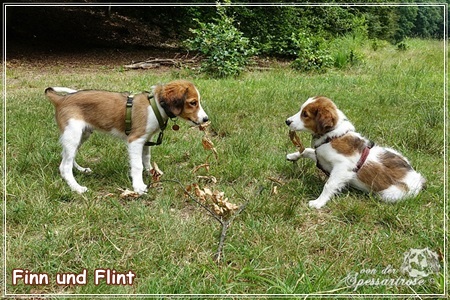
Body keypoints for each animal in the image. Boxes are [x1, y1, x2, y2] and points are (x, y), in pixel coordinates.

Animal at [44, 79, 208, 193]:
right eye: (193, 102)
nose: (206, 119)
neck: (155, 106)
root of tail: (61, 99)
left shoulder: (146, 140)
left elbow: (146, 158)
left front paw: (151, 173)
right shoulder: (135, 140)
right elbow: (137, 164)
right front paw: (139, 186)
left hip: (82, 134)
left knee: (66, 157)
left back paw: (81, 170)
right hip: (73, 134)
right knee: (64, 166)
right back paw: (76, 188)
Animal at [284, 96, 426, 209]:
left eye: (305, 114)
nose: (287, 121)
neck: (332, 136)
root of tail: (419, 179)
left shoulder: (342, 166)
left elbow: (329, 184)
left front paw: (318, 202)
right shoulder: (322, 156)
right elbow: (307, 150)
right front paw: (293, 156)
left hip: (390, 193)